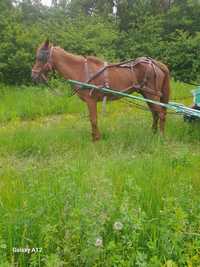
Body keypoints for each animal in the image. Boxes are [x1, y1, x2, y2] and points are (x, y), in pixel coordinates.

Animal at [32, 39, 170, 142]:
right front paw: (95, 137)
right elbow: (92, 119)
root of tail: (156, 64)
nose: (33, 75)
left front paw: (96, 139)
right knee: (155, 113)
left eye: (40, 56)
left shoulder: (90, 100)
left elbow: (93, 119)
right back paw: (153, 133)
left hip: (152, 95)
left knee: (161, 114)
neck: (81, 70)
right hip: (147, 94)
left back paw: (161, 136)